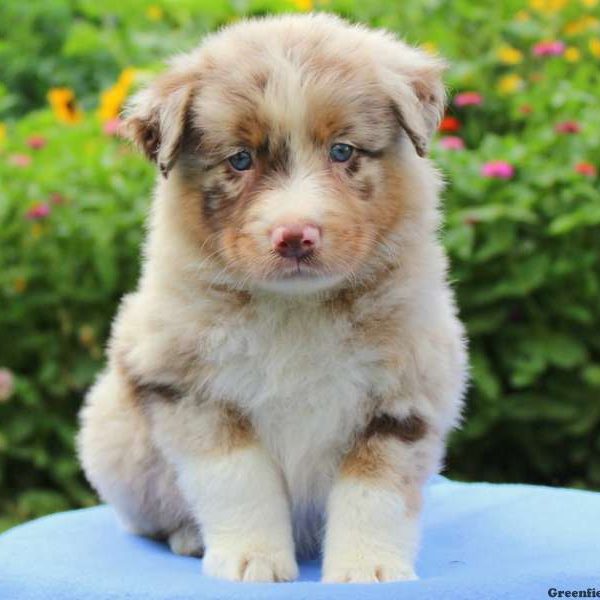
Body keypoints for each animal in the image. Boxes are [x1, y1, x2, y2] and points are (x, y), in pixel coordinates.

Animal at [76, 14, 468, 584]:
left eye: (343, 151)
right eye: (240, 160)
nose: (295, 236)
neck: (296, 307)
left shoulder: (406, 392)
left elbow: (374, 492)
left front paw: (368, 567)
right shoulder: (191, 388)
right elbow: (238, 480)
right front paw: (251, 558)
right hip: (115, 437)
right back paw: (188, 536)